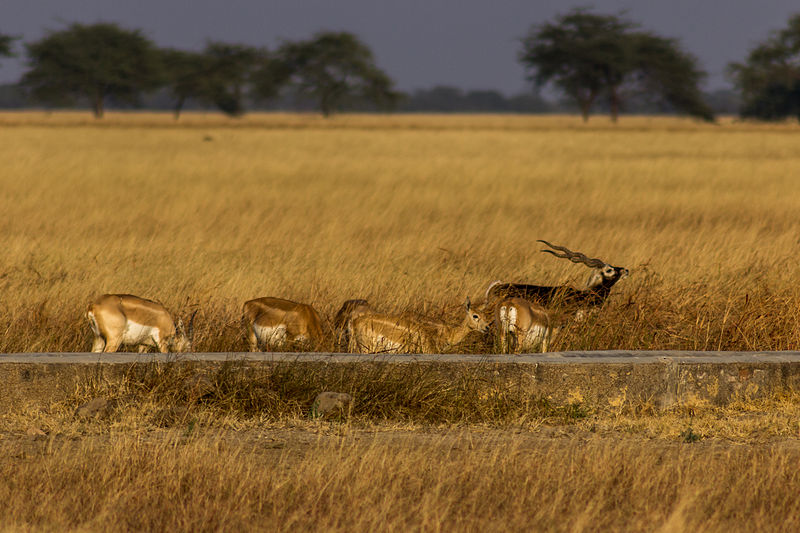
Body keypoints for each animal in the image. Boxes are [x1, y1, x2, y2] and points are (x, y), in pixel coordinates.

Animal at [348, 298, 490, 356]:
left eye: (485, 315)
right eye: (475, 316)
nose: (487, 327)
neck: (449, 333)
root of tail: (354, 322)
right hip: (365, 348)